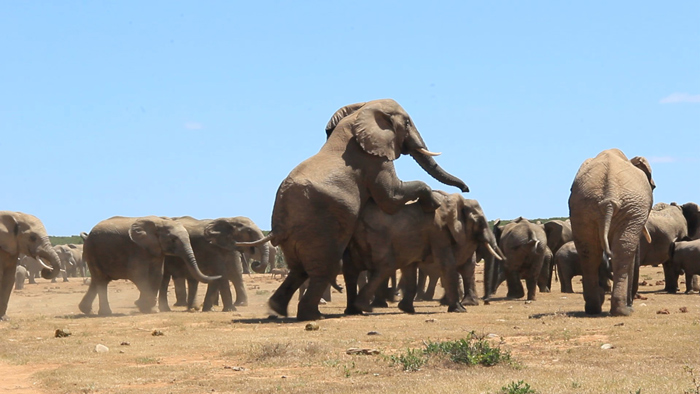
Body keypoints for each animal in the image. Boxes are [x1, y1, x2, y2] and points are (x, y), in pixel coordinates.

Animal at [77, 214, 220, 316]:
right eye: (173, 240)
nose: (218, 276)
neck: (159, 222)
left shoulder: (156, 250)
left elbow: (157, 274)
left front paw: (147, 308)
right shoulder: (137, 248)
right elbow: (137, 274)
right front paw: (142, 305)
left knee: (99, 280)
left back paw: (87, 311)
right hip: (91, 251)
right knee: (101, 280)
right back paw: (105, 313)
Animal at [237, 97, 470, 320]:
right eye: (407, 123)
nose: (466, 188)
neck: (357, 116)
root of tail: (278, 226)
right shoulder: (373, 160)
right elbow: (391, 198)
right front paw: (433, 203)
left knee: (298, 270)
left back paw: (277, 309)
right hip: (318, 229)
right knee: (325, 268)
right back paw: (313, 315)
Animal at [344, 191, 504, 314]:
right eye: (480, 222)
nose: (487, 301)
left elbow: (410, 267)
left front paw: (407, 309)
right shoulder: (438, 231)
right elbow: (446, 264)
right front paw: (460, 309)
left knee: (354, 269)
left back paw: (358, 307)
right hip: (376, 235)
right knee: (385, 266)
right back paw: (364, 306)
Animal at [568, 149, 656, 316]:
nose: (632, 300)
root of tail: (608, 199)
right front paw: (630, 305)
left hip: (582, 208)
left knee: (589, 253)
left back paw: (593, 308)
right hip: (630, 209)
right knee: (623, 252)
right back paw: (624, 310)